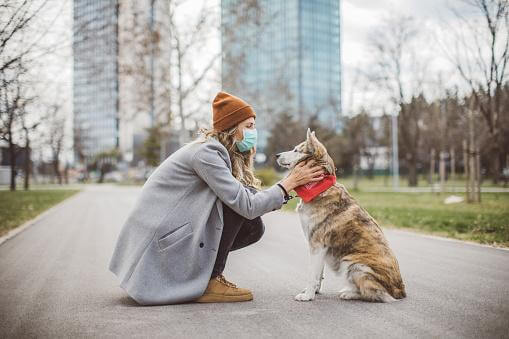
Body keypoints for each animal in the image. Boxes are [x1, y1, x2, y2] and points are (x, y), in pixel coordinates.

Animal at [274, 129, 404, 302]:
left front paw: (307, 296)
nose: (276, 155)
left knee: (375, 294)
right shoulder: (320, 248)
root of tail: (401, 292)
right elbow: (318, 274)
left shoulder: (317, 245)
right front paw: (314, 292)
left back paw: (348, 293)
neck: (319, 187)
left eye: (296, 150)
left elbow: (311, 274)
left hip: (354, 265)